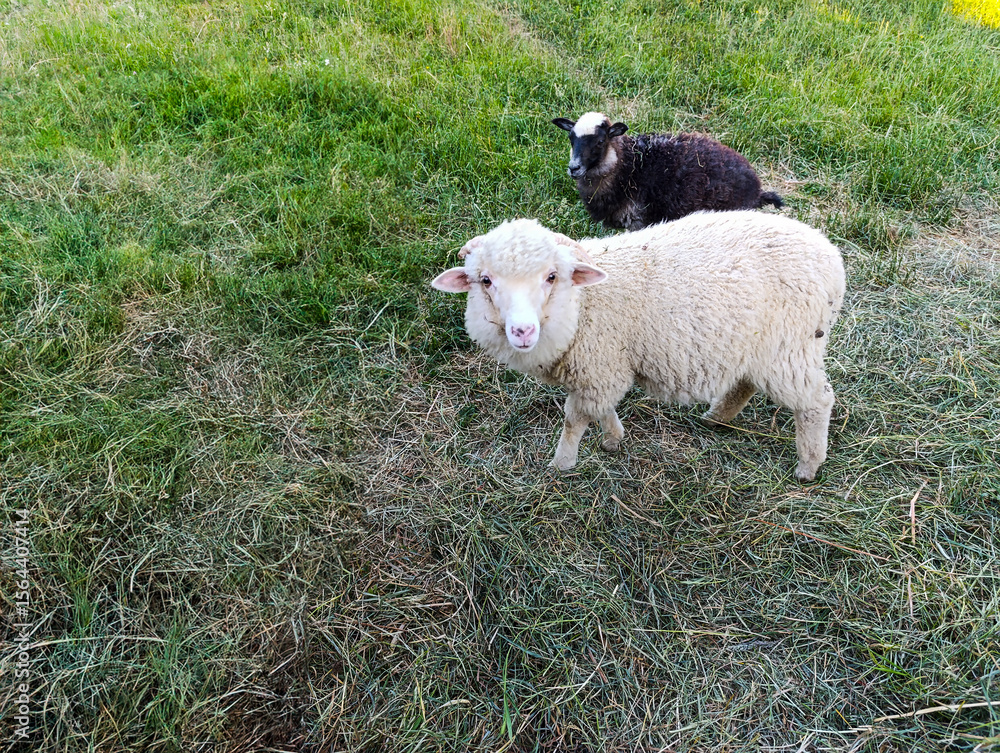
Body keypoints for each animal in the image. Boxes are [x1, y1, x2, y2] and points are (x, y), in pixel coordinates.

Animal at [431, 211, 845, 481]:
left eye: (551, 276)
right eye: (485, 280)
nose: (522, 331)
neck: (583, 305)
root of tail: (832, 256)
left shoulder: (599, 366)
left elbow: (574, 419)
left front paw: (562, 464)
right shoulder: (601, 371)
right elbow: (601, 409)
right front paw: (614, 439)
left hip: (790, 347)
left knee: (817, 401)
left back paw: (808, 466)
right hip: (757, 347)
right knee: (745, 383)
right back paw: (716, 417)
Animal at [552, 112, 783, 231]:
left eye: (600, 141)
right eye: (571, 138)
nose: (574, 168)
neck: (628, 169)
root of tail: (758, 189)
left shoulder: (638, 222)